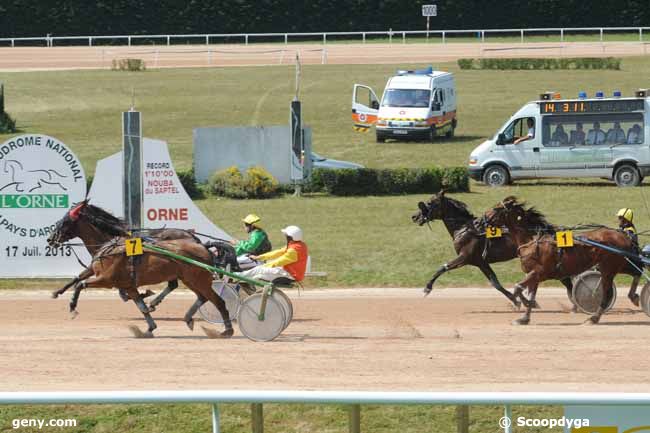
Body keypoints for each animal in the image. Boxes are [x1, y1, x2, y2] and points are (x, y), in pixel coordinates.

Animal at [46, 202, 233, 338]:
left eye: (65, 221)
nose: (50, 239)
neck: (111, 244)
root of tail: (202, 245)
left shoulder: (106, 279)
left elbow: (81, 284)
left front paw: (72, 307)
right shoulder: (124, 283)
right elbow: (139, 305)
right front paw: (148, 328)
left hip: (198, 279)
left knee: (217, 301)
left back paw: (226, 330)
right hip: (190, 279)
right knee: (200, 296)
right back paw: (186, 317)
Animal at [410, 190, 572, 308]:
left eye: (430, 202)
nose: (414, 217)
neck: (466, 229)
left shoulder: (465, 257)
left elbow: (443, 267)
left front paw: (427, 287)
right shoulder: (481, 262)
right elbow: (495, 283)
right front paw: (517, 300)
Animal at [484, 196, 632, 324]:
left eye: (496, 208)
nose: (483, 219)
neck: (532, 240)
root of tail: (622, 236)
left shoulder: (538, 272)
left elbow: (518, 288)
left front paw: (520, 303)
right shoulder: (534, 274)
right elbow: (531, 293)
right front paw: (524, 318)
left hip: (608, 269)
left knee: (607, 293)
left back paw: (594, 318)